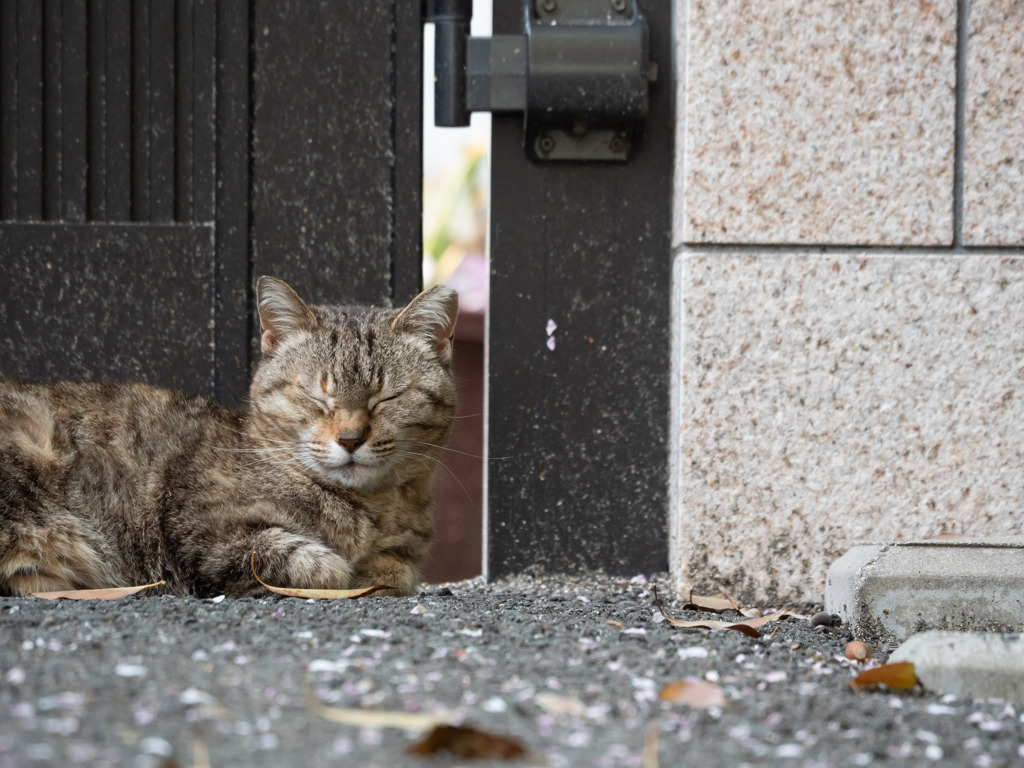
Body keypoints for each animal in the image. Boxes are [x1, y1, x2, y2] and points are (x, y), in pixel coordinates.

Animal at [0, 278, 458, 602]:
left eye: (388, 397)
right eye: (316, 394)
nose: (350, 438)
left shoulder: (401, 549)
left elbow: (396, 568)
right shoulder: (203, 533)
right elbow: (316, 564)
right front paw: (347, 570)